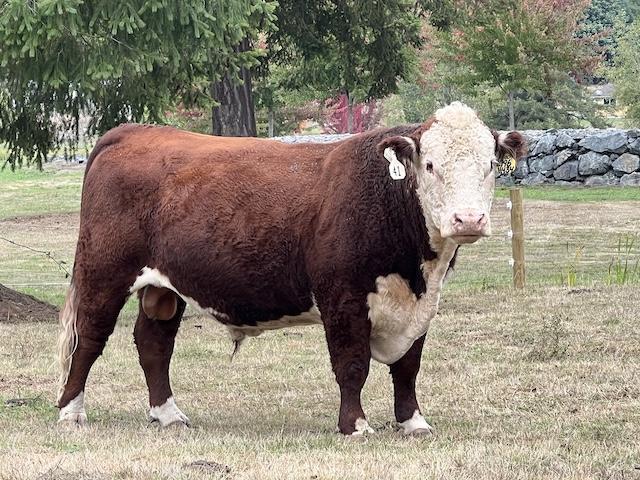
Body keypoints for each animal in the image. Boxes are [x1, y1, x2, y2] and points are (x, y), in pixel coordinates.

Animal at [56, 102, 525, 435]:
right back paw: (71, 412)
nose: (469, 219)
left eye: (489, 165)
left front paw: (413, 422)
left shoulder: (421, 302)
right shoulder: (342, 298)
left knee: (154, 343)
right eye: (430, 165)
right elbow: (352, 364)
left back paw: (168, 414)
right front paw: (355, 425)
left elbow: (408, 367)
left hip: (164, 286)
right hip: (104, 272)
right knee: (90, 338)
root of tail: (134, 131)